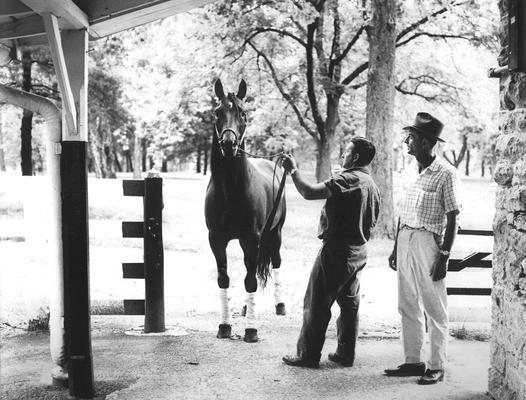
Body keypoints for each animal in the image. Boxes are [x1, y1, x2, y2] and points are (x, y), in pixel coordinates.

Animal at [206, 79, 288, 344]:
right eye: (217, 112)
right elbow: (224, 279)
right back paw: (243, 308)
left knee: (275, 263)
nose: (229, 144)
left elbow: (250, 281)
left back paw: (280, 305)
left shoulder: (252, 238)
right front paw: (224, 326)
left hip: (275, 234)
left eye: (243, 113)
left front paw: (251, 331)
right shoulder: (216, 240)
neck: (231, 191)